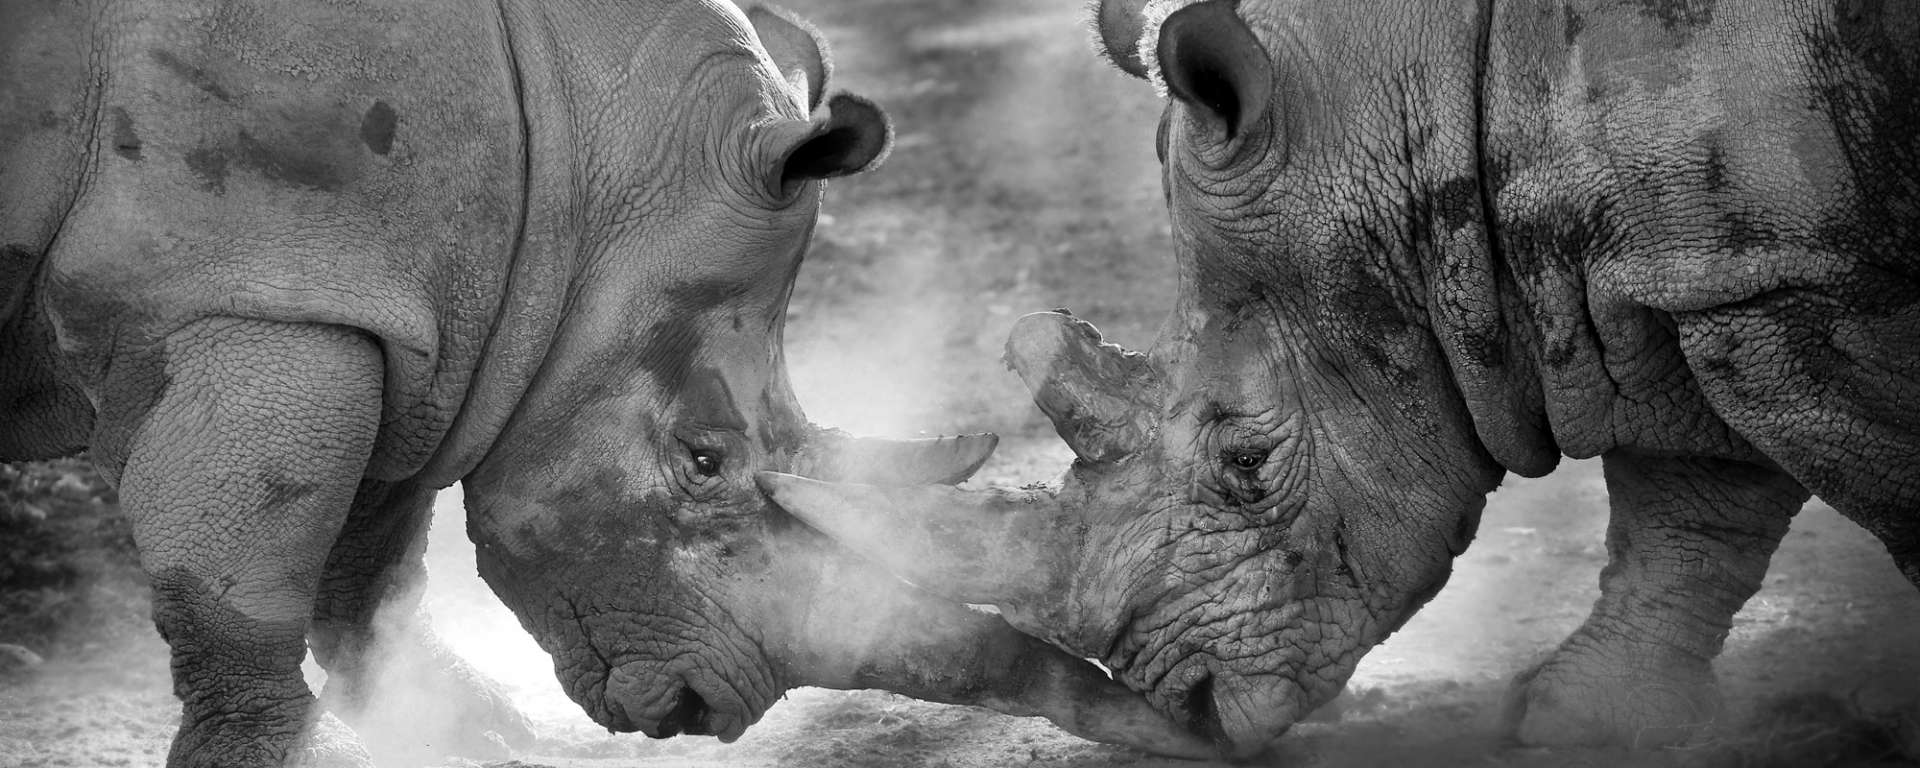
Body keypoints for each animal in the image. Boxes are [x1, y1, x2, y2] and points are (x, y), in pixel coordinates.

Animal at [0, 0, 1210, 764]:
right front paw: (279, 753)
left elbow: (372, 543)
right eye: (705, 461)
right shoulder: (266, 289)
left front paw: (461, 726)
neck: (579, 149)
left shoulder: (414, 309)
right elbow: (245, 565)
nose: (709, 707)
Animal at [759, 0, 1920, 756]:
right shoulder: (1689, 264)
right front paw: (1572, 722)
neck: (1441, 104)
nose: (1190, 710)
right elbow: (1686, 508)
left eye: (1246, 465)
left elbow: (1861, 487)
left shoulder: (1773, 277)